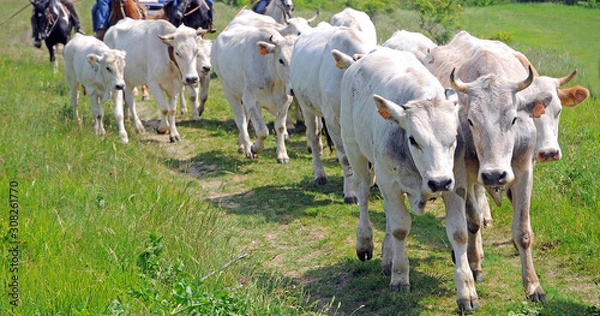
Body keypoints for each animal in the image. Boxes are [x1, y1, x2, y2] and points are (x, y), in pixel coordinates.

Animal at [212, 25, 296, 163]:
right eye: (281, 60)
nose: (294, 89)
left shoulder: (285, 102)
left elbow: (280, 127)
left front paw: (282, 155)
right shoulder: (251, 100)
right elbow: (262, 131)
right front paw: (254, 148)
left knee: (246, 118)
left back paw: (241, 144)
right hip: (229, 90)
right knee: (240, 119)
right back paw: (247, 147)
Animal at [290, 24, 376, 202]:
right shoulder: (333, 120)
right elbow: (345, 158)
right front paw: (350, 193)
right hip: (306, 106)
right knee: (314, 136)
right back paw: (320, 174)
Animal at [342, 46, 478, 312]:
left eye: (454, 138)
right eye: (414, 139)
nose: (439, 182)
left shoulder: (456, 184)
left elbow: (458, 233)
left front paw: (466, 290)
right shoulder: (389, 183)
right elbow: (400, 229)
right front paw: (399, 276)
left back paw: (387, 256)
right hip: (356, 154)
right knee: (363, 195)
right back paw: (365, 241)